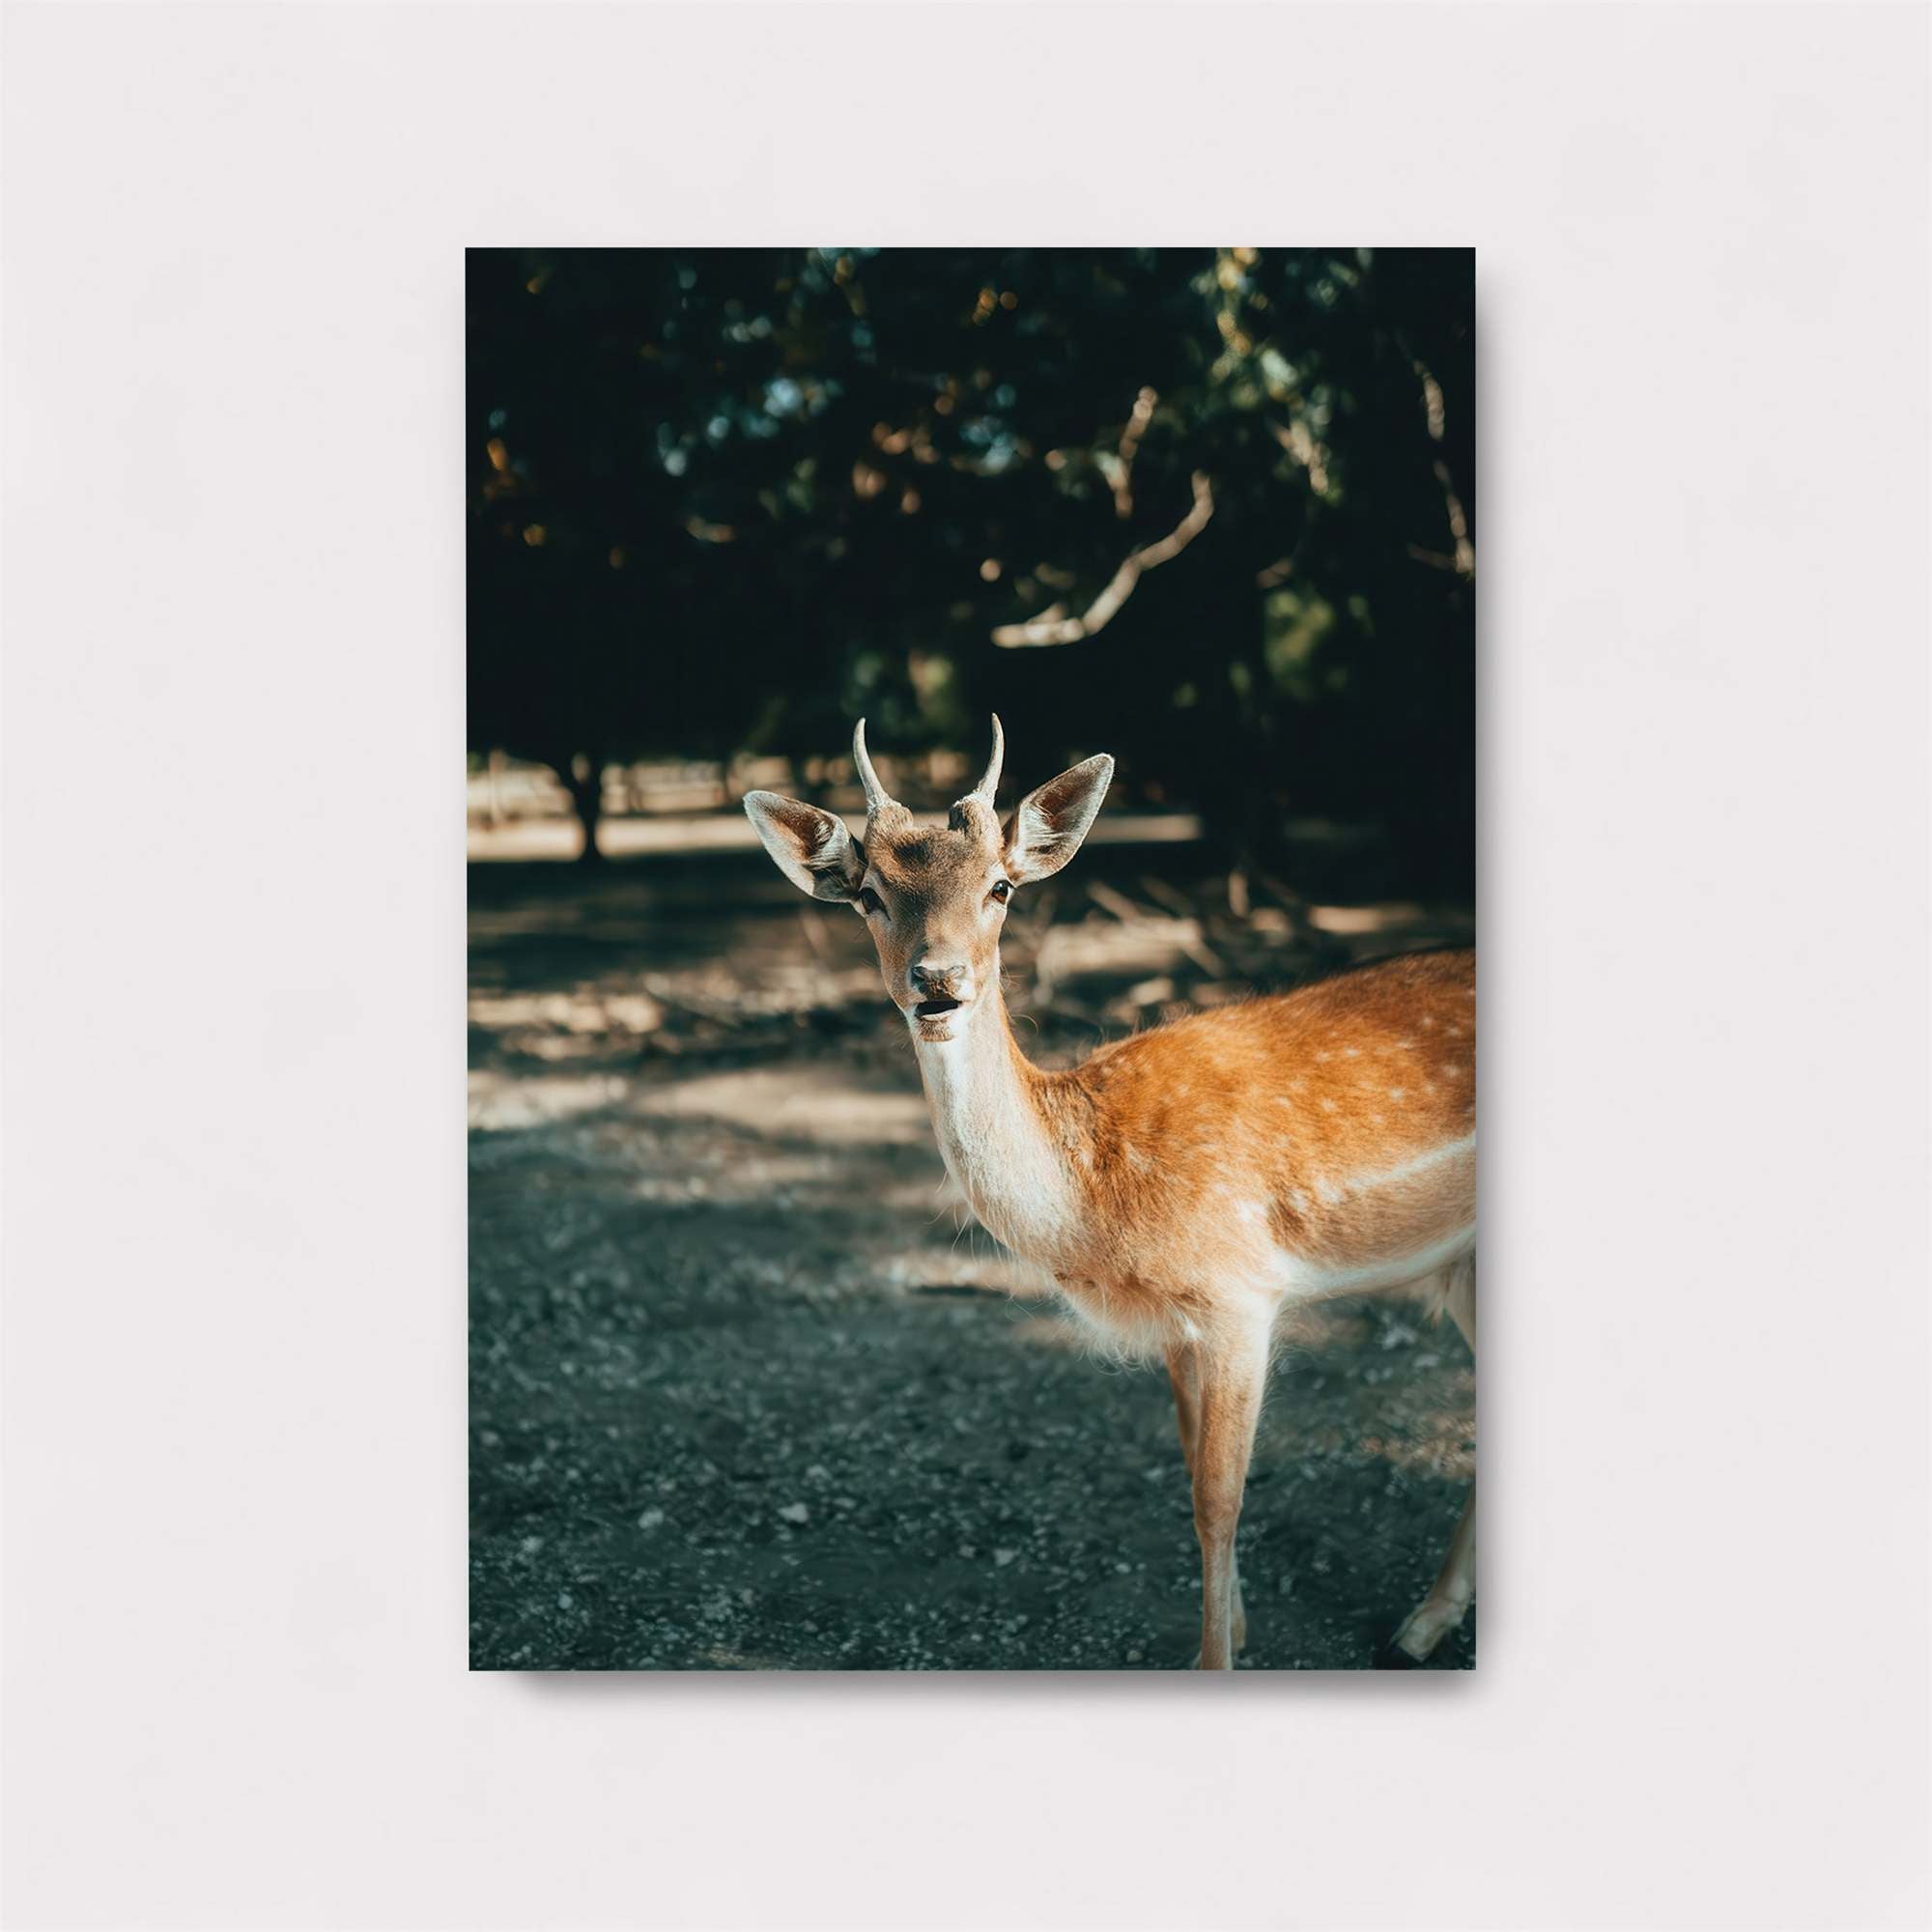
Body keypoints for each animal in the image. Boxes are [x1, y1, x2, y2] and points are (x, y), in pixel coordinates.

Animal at [743, 717, 1475, 1669]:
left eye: (1001, 886)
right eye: (868, 893)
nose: (937, 983)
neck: (1100, 1211)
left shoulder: (1242, 1291)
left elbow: (1218, 1500)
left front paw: (1218, 1659)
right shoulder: (1179, 1324)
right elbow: (1188, 1472)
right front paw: (1235, 1627)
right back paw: (1424, 1624)